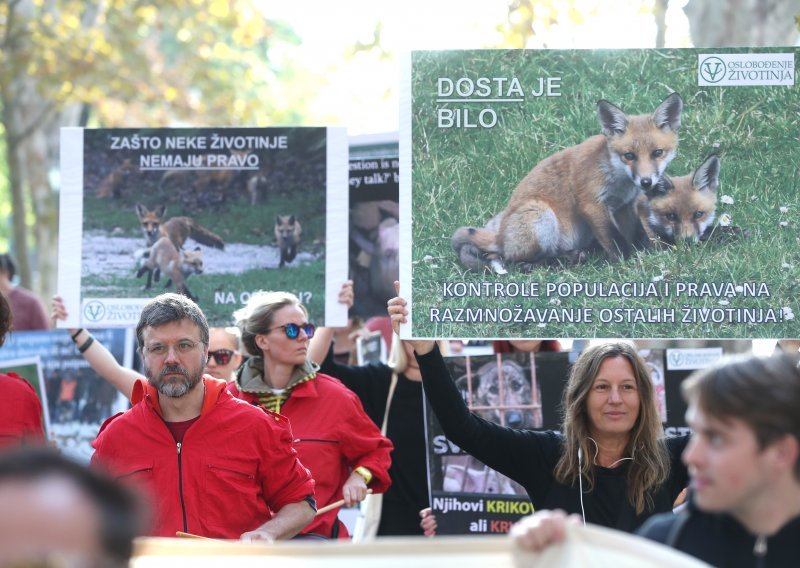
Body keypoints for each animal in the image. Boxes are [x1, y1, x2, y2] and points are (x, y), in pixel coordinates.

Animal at [454, 91, 684, 272]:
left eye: (657, 153)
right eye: (629, 156)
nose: (646, 182)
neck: (617, 177)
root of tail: (500, 236)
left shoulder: (624, 205)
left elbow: (637, 233)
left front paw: (648, 252)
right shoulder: (592, 204)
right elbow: (614, 239)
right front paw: (627, 261)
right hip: (540, 215)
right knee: (516, 261)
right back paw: (562, 261)